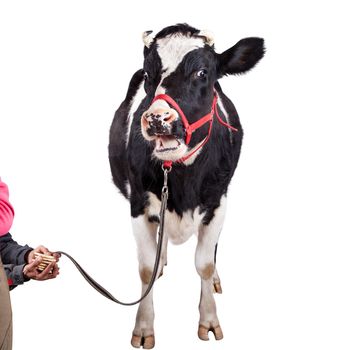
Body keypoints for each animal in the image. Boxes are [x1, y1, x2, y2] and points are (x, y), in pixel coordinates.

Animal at [108, 23, 264, 348]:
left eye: (203, 72)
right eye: (148, 73)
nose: (157, 118)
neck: (180, 179)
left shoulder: (218, 203)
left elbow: (204, 264)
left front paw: (209, 320)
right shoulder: (138, 205)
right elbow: (145, 270)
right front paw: (143, 327)